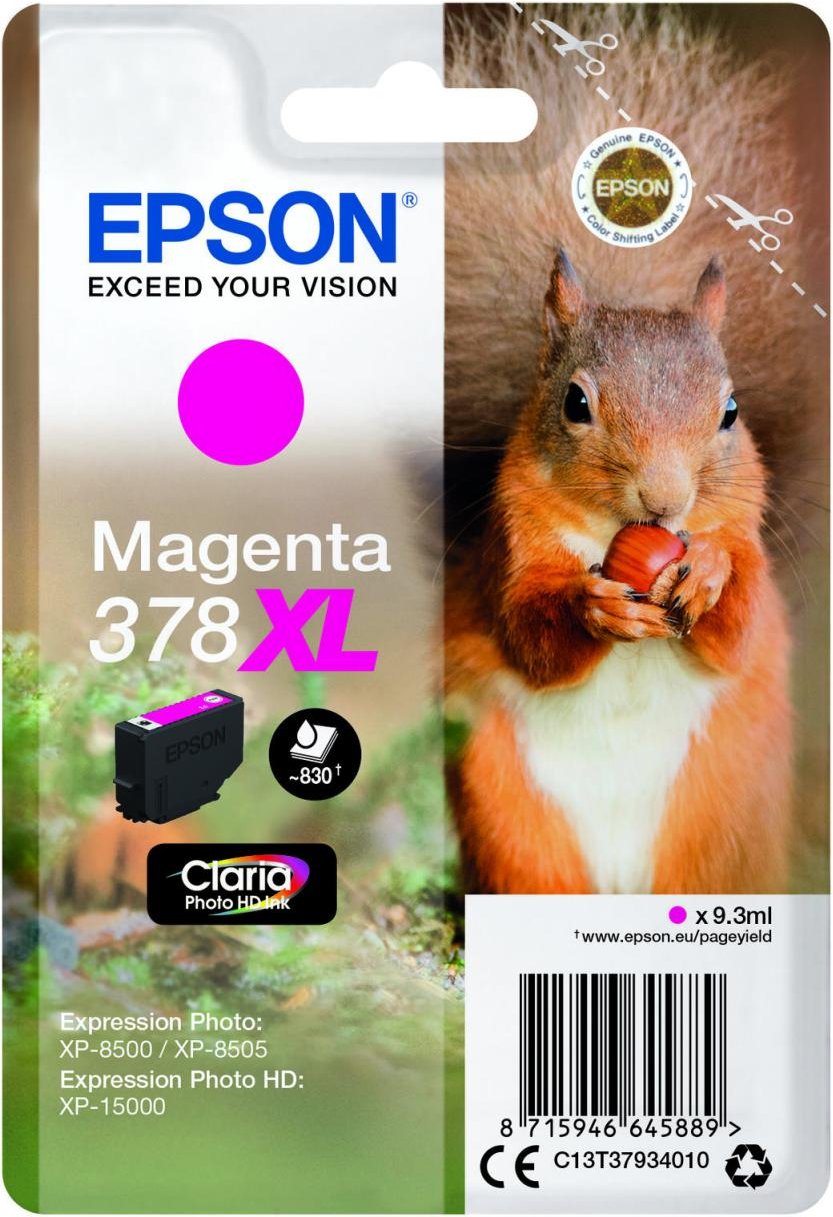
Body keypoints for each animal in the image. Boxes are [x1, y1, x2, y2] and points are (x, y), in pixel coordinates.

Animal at [443, 5, 827, 895]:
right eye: (574, 403)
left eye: (730, 411)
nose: (665, 500)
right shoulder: (511, 548)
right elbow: (529, 632)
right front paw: (594, 606)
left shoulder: (747, 541)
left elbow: (738, 626)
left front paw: (709, 573)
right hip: (508, 814)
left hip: (722, 818)